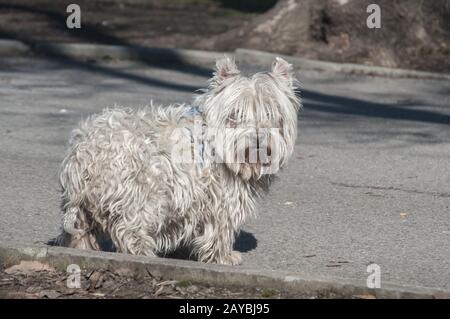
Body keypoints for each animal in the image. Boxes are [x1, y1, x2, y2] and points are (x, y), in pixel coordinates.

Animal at [58, 57, 300, 264]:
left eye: (271, 114)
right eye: (236, 114)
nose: (258, 138)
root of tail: (82, 153)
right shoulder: (221, 199)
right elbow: (219, 230)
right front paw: (224, 257)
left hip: (87, 208)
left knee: (83, 231)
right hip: (140, 196)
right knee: (130, 230)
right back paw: (144, 255)